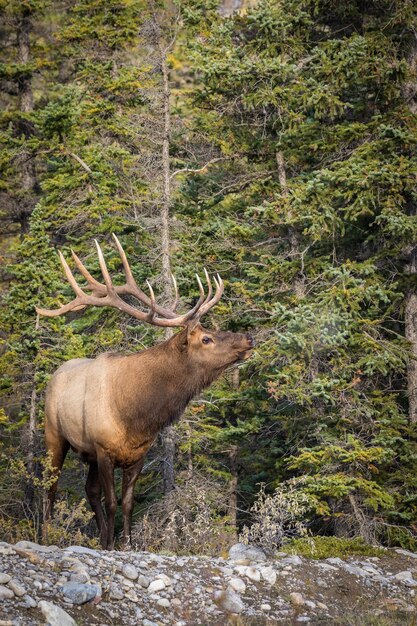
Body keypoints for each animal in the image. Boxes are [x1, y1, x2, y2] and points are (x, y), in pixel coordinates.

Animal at [37, 236, 254, 548]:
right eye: (206, 338)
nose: (248, 338)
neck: (138, 416)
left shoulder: (137, 455)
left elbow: (127, 503)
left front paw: (124, 543)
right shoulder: (104, 450)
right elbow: (112, 501)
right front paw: (113, 544)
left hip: (87, 453)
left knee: (89, 491)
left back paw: (99, 536)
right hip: (54, 435)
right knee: (50, 488)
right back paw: (46, 535)